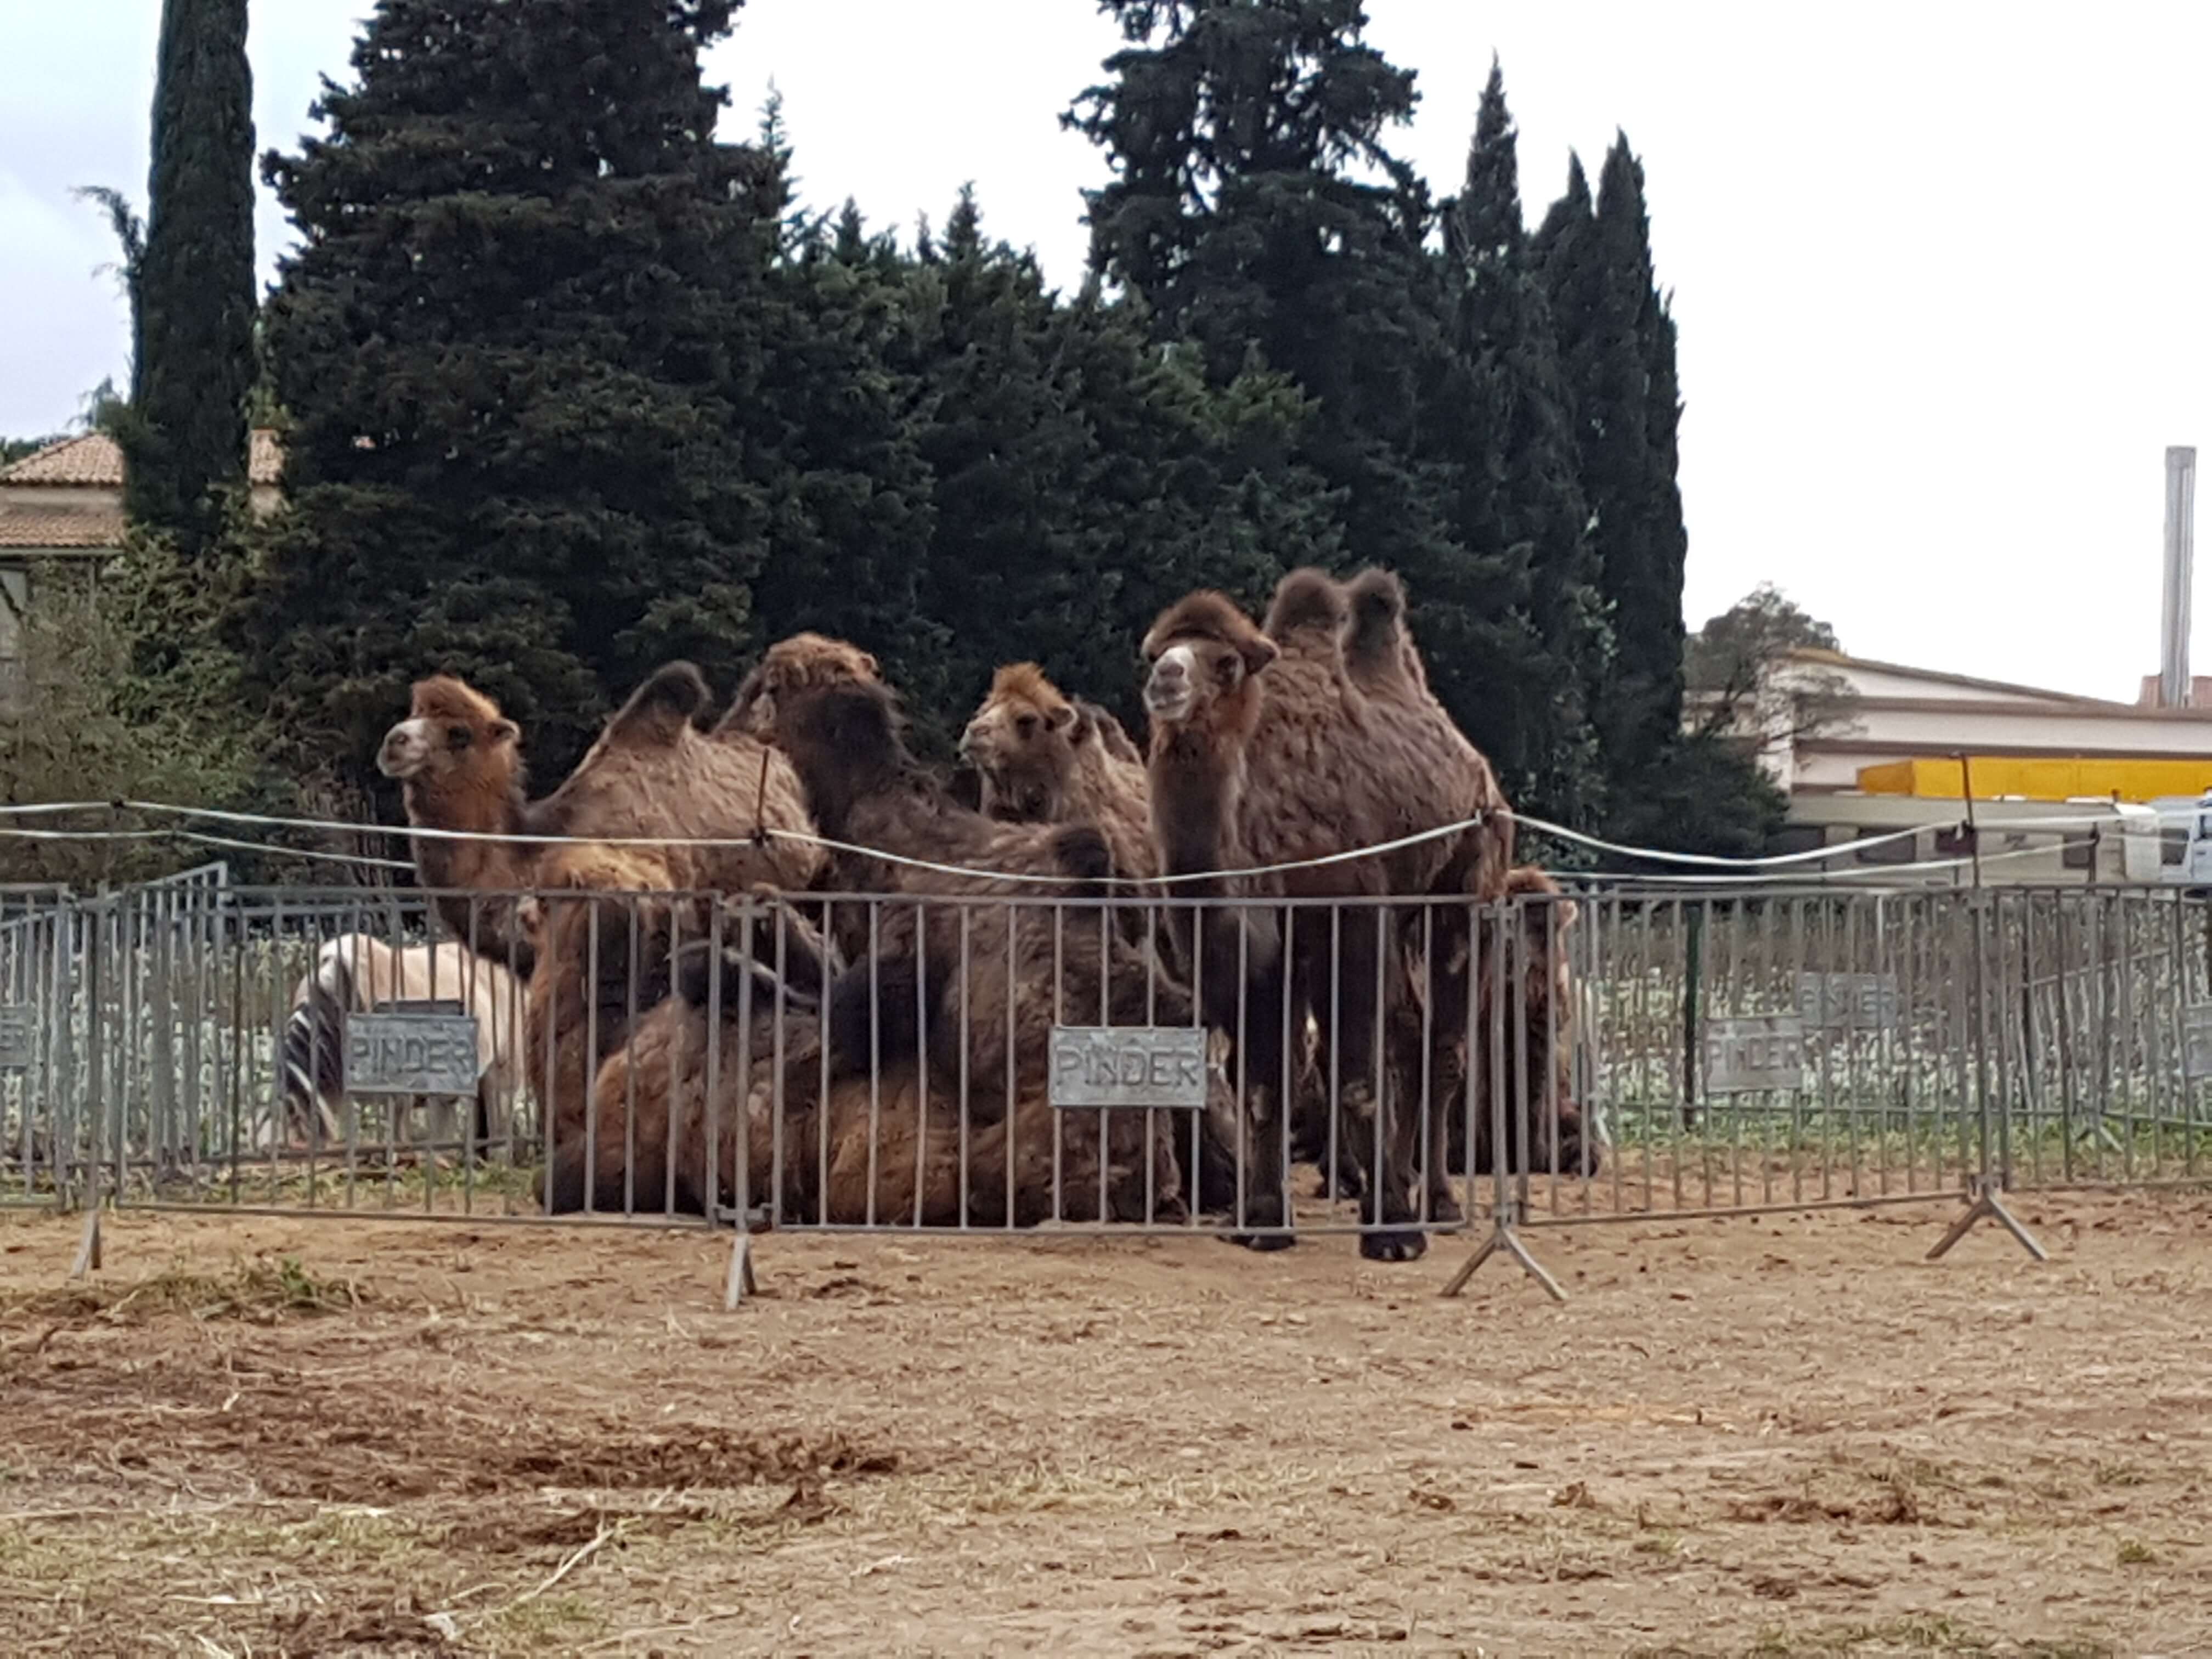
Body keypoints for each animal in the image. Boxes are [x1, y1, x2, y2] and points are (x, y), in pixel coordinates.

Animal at [1141, 571, 1522, 1256]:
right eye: (1155, 652)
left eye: (1227, 663)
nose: (1167, 680)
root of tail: (1482, 772)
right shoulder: (1269, 949)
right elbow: (1266, 1082)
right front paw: (1262, 1222)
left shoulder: (1353, 915)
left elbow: (1354, 1073)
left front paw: (1392, 1233)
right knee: (1407, 1035)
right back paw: (1403, 1184)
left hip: (1467, 893)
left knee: (1443, 1047)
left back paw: (1438, 1205)